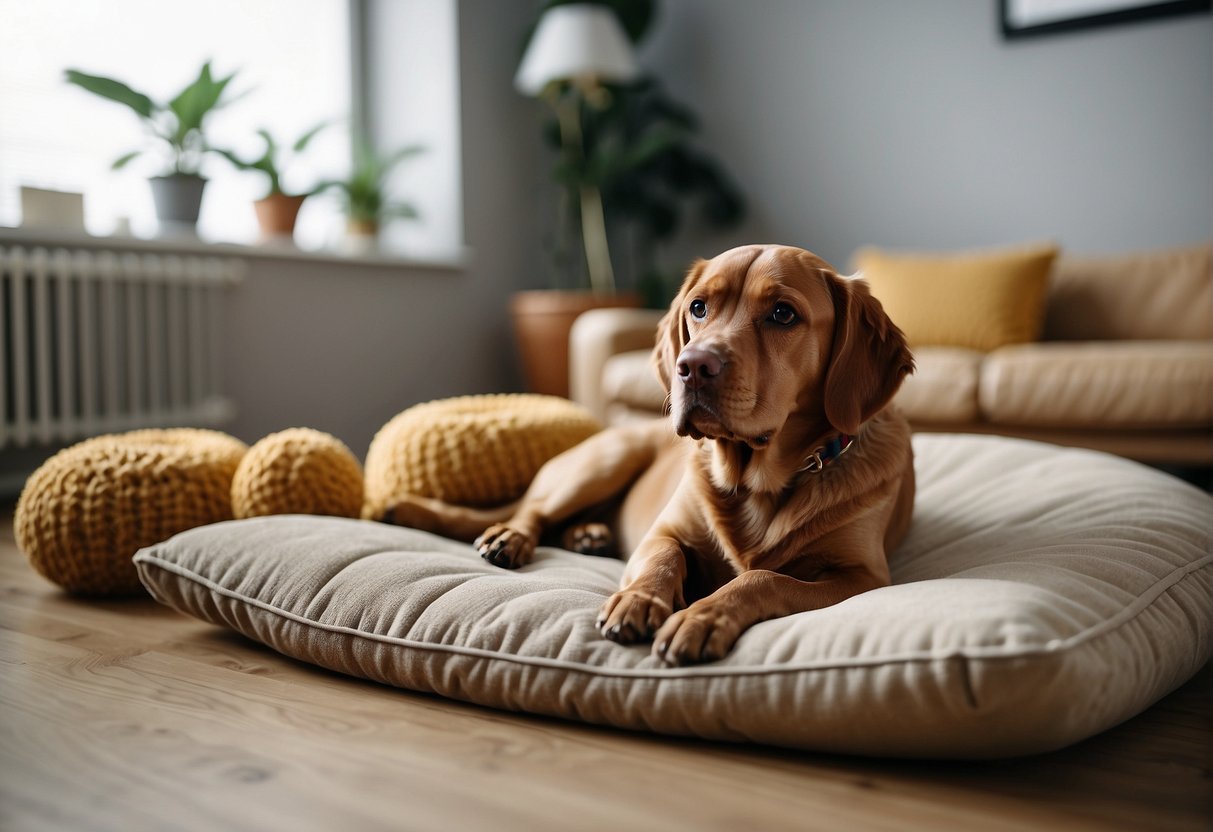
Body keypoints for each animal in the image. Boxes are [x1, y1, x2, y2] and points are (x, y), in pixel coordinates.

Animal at [383, 244, 912, 669]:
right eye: (698, 307)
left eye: (783, 314)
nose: (692, 366)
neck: (758, 479)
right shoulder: (666, 530)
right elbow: (662, 557)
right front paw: (637, 600)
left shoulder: (862, 577)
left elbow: (763, 578)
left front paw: (702, 615)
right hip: (607, 458)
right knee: (531, 512)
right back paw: (512, 536)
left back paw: (589, 536)